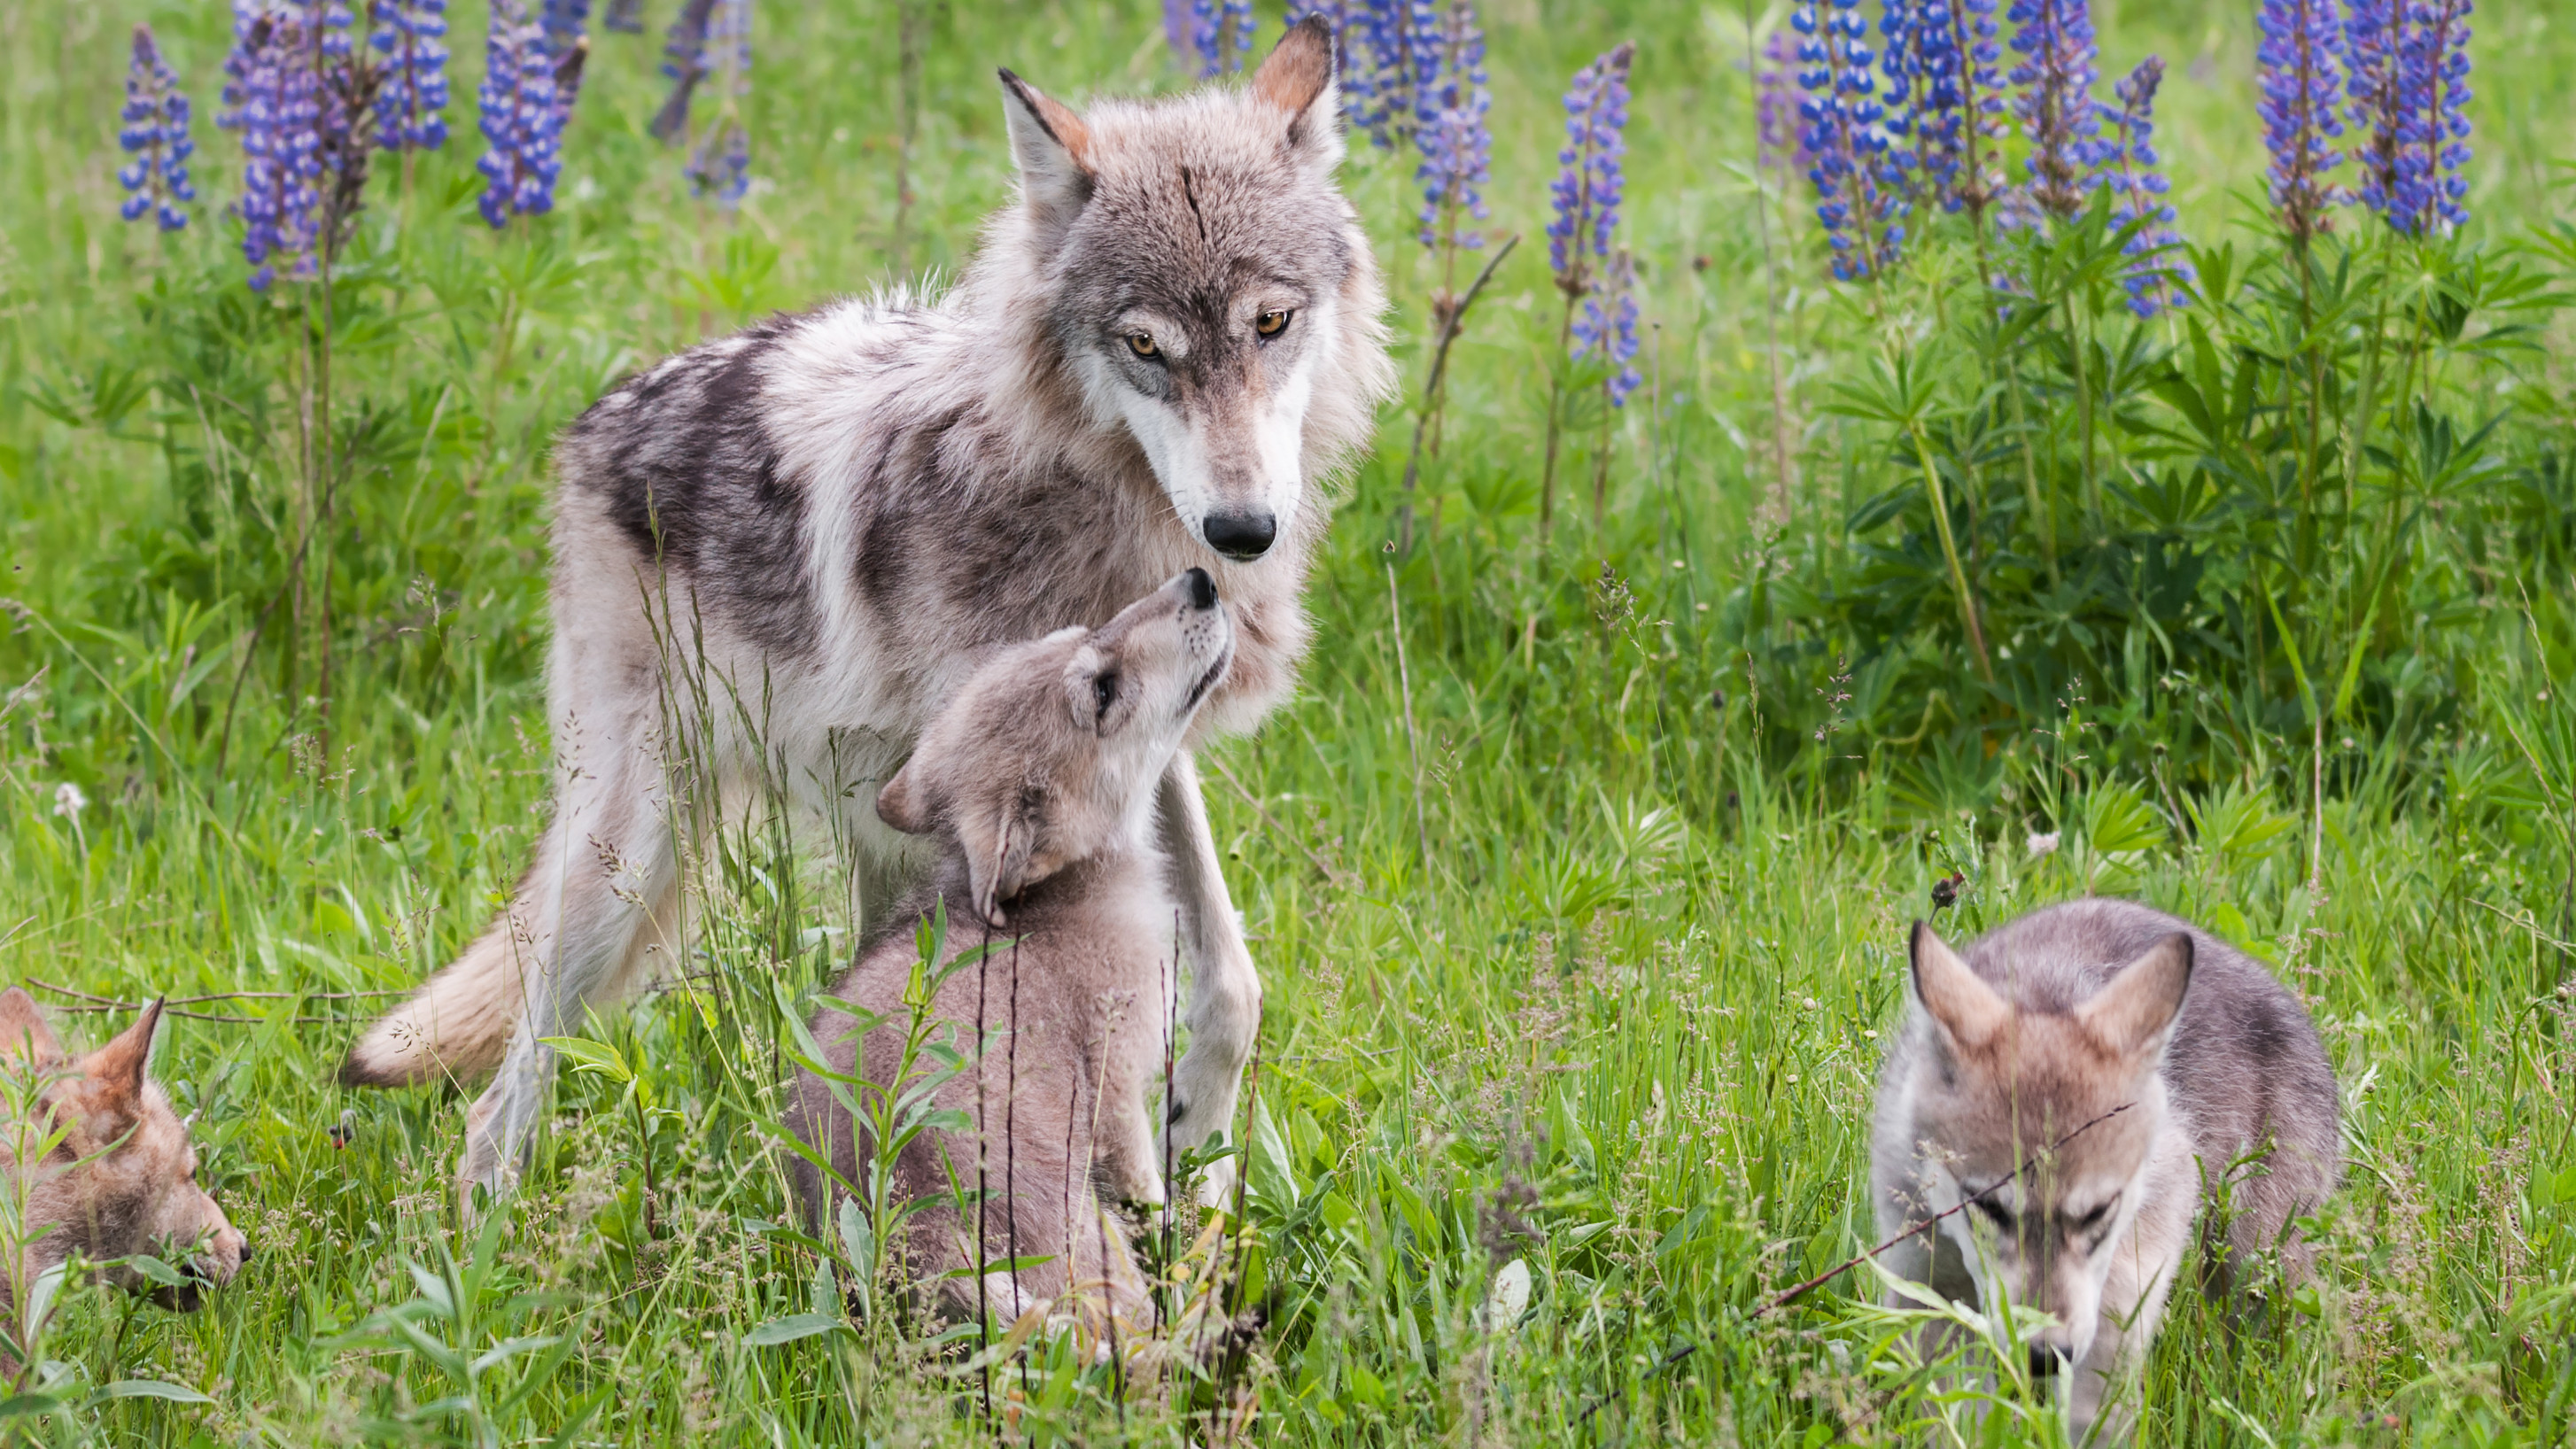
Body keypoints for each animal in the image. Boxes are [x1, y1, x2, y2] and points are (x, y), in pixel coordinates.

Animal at [340, 17, 1393, 1202]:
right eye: (1144, 346)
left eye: (1271, 321)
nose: (1240, 532)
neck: (1095, 508)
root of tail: (596, 420)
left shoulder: (1144, 746)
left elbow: (1232, 983)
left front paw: (1202, 1171)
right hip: (628, 859)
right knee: (498, 1100)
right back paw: (489, 1245)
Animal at [786, 568, 1232, 1327]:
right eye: (1102, 691)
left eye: (1080, 631)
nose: (1199, 580)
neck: (1066, 899)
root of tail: (919, 1235)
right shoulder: (1118, 1097)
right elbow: (1154, 1200)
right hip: (1094, 1253)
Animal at [1872, 899, 2340, 1439]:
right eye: (1988, 1206)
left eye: (2098, 1211)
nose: (2045, 1356)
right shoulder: (1925, 1286)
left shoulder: (2123, 1294)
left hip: (2257, 1271)